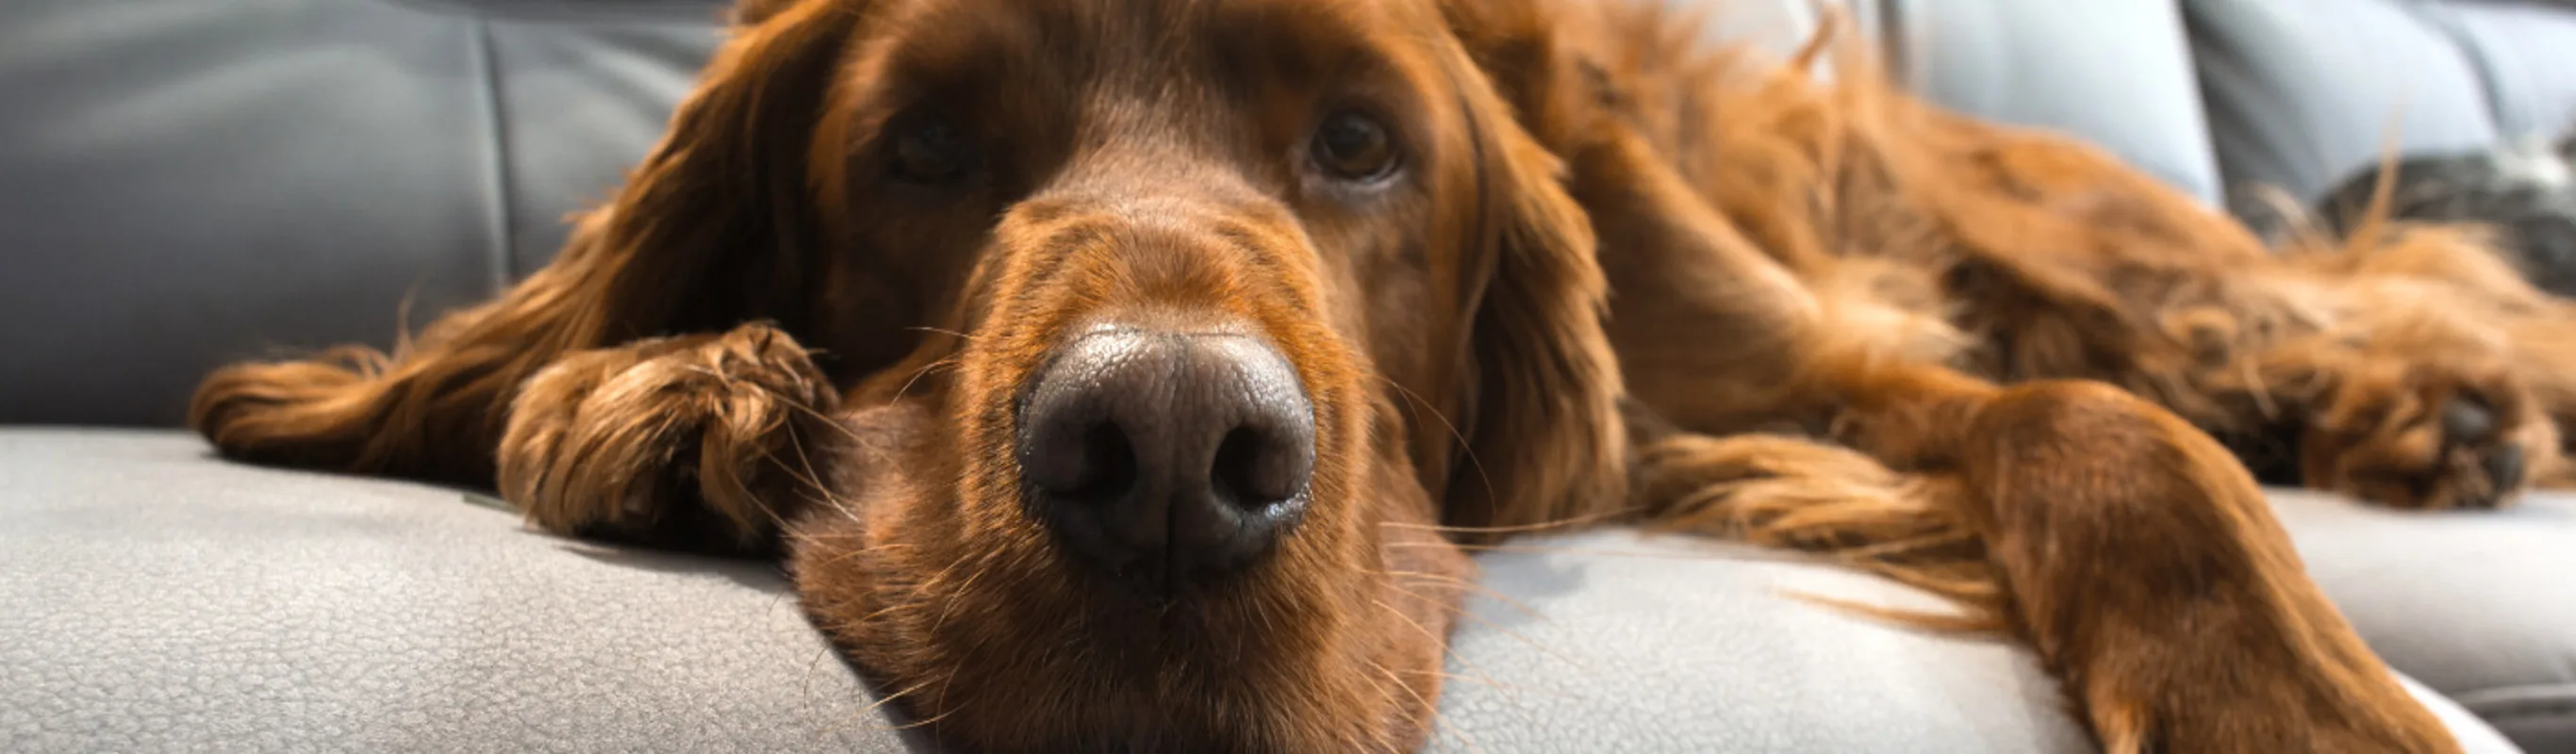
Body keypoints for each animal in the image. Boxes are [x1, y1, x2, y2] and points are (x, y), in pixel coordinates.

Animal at [190, 0, 2566, 746]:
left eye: (1360, 142)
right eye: (923, 146)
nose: (1167, 461)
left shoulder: (1814, 371)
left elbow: (2099, 431)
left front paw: (2291, 701)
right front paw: (666, 391)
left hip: (2046, 232)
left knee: (2258, 320)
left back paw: (2433, 404)